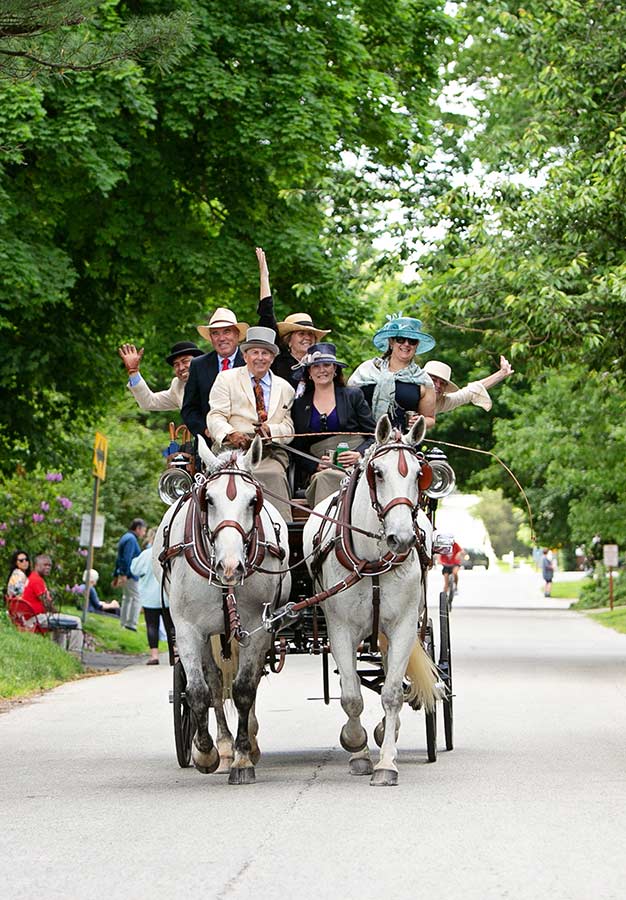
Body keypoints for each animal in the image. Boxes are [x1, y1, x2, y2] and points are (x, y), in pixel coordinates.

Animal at [151, 436, 290, 780]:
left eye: (253, 501)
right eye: (208, 500)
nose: (230, 567)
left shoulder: (256, 627)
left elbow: (243, 689)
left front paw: (243, 759)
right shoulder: (187, 629)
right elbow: (198, 692)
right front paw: (206, 753)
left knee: (247, 682)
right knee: (213, 683)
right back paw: (223, 746)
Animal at [302, 416, 438, 788]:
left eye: (419, 473)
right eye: (377, 472)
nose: (401, 538)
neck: (373, 560)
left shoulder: (403, 626)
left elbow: (392, 693)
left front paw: (386, 763)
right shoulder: (340, 629)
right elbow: (351, 696)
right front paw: (357, 748)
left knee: (394, 678)